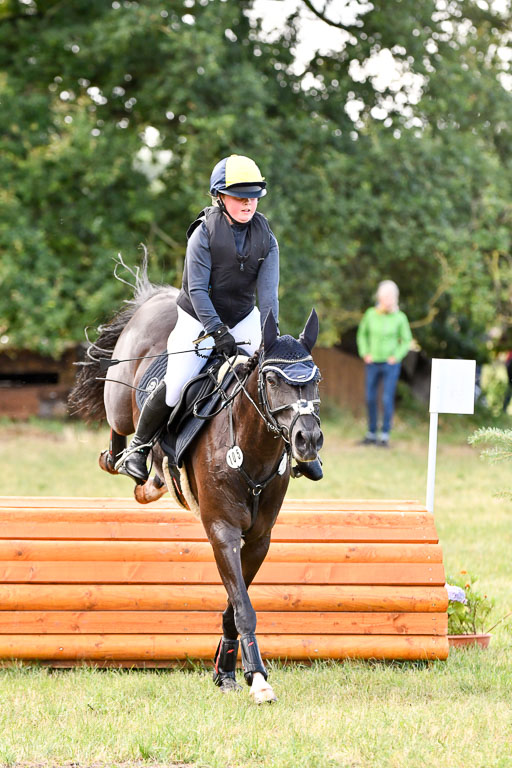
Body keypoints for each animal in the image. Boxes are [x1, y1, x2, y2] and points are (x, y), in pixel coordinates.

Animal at [69, 258, 322, 704]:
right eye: (272, 380)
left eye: (317, 379)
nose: (308, 440)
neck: (250, 452)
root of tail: (157, 298)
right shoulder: (221, 530)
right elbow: (243, 606)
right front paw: (259, 679)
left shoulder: (258, 538)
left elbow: (234, 605)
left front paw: (228, 671)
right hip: (121, 400)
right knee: (122, 434)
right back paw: (131, 463)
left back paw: (152, 482)